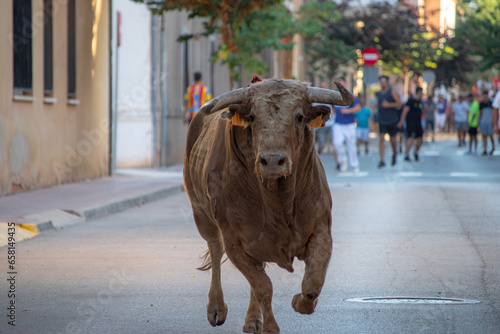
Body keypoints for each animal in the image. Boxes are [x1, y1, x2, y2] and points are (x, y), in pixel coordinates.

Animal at [185, 79, 356, 334]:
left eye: (299, 116)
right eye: (253, 116)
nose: (273, 161)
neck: (278, 199)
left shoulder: (321, 230)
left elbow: (312, 282)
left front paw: (299, 302)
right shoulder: (235, 242)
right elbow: (263, 286)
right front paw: (270, 327)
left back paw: (252, 319)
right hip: (201, 214)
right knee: (215, 250)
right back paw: (216, 309)